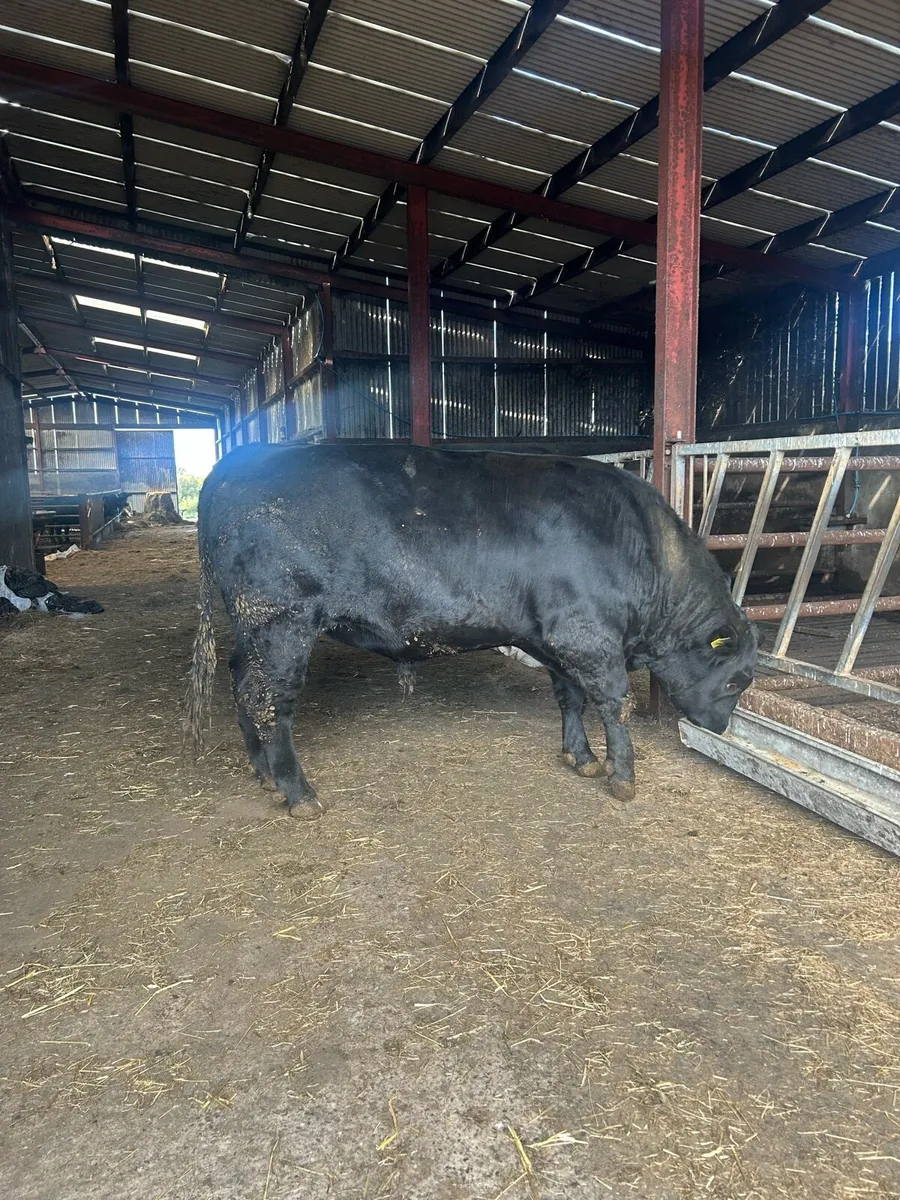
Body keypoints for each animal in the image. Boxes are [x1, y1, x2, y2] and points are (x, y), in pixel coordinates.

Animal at [185, 443, 757, 818]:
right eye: (736, 680)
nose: (720, 727)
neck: (644, 548)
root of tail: (230, 464)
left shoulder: (556, 639)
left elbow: (569, 697)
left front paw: (580, 757)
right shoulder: (588, 637)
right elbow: (615, 704)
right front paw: (623, 776)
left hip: (254, 632)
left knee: (243, 686)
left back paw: (263, 773)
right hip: (280, 620)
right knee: (271, 702)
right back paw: (298, 792)